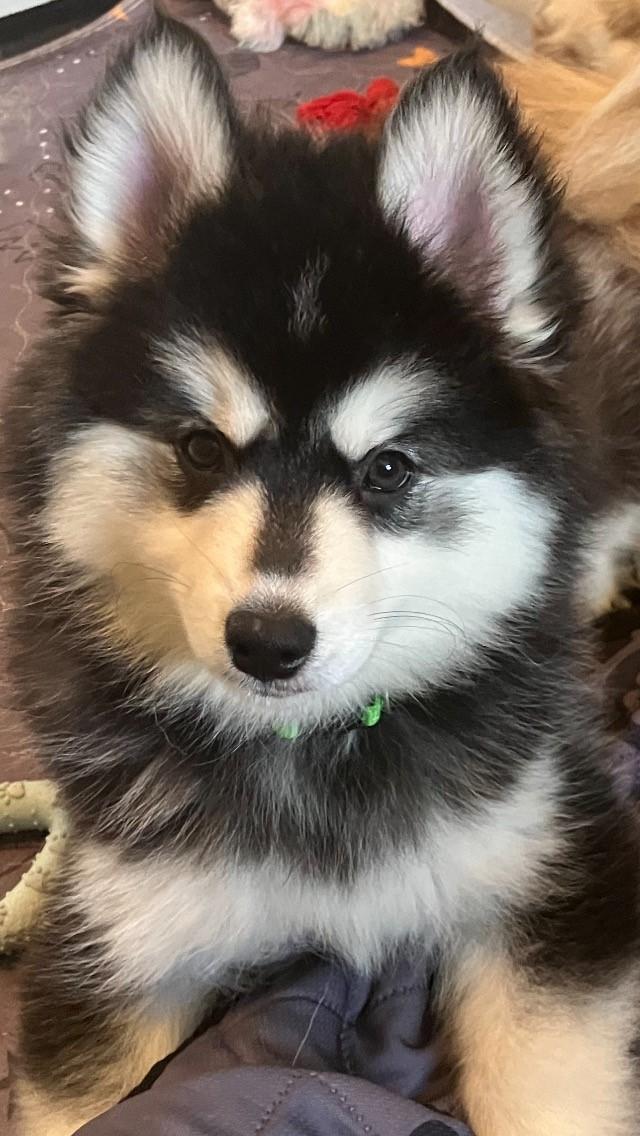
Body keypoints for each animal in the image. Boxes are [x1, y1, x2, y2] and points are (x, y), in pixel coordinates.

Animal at [4, 14, 640, 1136]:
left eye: (388, 469)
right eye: (201, 449)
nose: (267, 641)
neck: (312, 755)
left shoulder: (559, 871)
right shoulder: (111, 939)